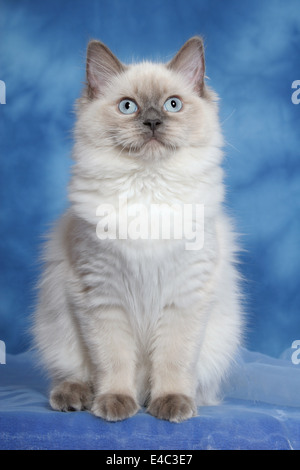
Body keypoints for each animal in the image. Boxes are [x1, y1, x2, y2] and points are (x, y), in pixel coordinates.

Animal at [33, 37, 244, 422]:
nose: (152, 121)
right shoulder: (103, 297)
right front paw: (115, 404)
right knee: (75, 375)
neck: (148, 188)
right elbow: (114, 362)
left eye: (173, 104)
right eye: (127, 106)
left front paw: (171, 405)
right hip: (58, 330)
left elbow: (173, 361)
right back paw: (74, 398)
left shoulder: (184, 299)